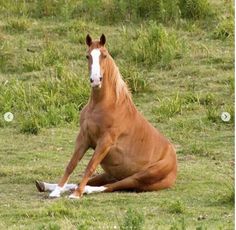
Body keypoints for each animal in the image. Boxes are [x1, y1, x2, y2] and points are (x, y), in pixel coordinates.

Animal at [36, 33, 177, 199]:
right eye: (87, 56)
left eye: (104, 55)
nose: (96, 80)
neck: (102, 105)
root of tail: (174, 164)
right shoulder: (84, 137)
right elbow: (71, 164)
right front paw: (56, 191)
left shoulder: (105, 142)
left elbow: (89, 166)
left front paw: (76, 195)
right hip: (112, 173)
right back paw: (46, 185)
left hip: (141, 177)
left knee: (114, 186)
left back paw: (85, 190)